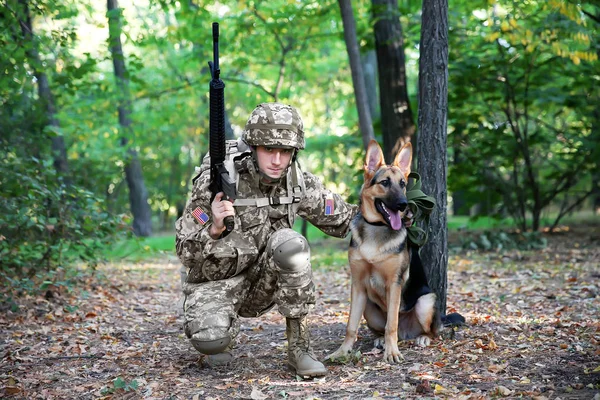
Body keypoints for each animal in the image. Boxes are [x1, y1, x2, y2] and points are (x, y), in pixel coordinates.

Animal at [328, 140, 440, 362]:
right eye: (385, 182)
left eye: (403, 184)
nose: (404, 205)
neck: (377, 228)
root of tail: (407, 333)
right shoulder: (358, 284)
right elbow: (351, 325)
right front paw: (342, 351)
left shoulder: (394, 284)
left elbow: (392, 324)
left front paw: (392, 352)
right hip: (369, 307)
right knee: (382, 328)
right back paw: (380, 340)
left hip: (425, 302)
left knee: (430, 330)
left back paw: (422, 338)